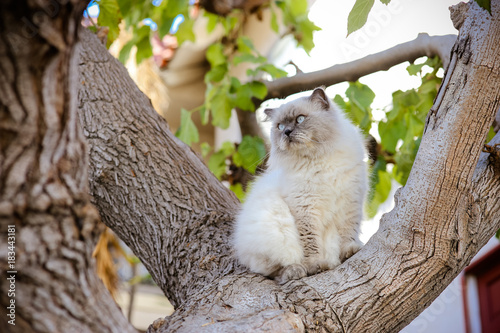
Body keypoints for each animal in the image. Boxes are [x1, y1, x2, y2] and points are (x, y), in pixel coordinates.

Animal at [233, 86, 368, 282]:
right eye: (280, 126)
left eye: (300, 119)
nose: (287, 132)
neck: (318, 158)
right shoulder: (305, 207)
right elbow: (310, 242)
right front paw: (315, 265)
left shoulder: (349, 202)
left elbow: (348, 234)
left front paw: (350, 251)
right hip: (274, 229)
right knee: (274, 270)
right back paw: (297, 270)